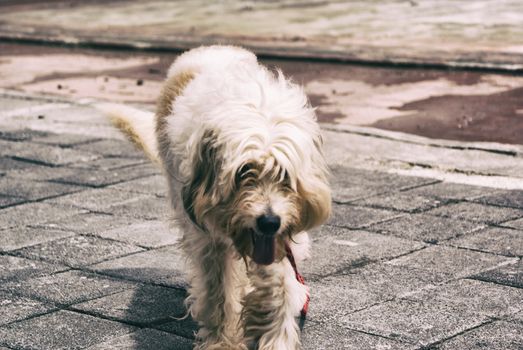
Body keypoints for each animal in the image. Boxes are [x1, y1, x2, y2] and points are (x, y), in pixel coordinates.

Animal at [103, 46, 332, 350]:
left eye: (284, 174)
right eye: (244, 172)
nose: (269, 221)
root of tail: (209, 49)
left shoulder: (280, 239)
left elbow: (279, 284)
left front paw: (274, 334)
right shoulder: (208, 238)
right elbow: (219, 292)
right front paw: (223, 341)